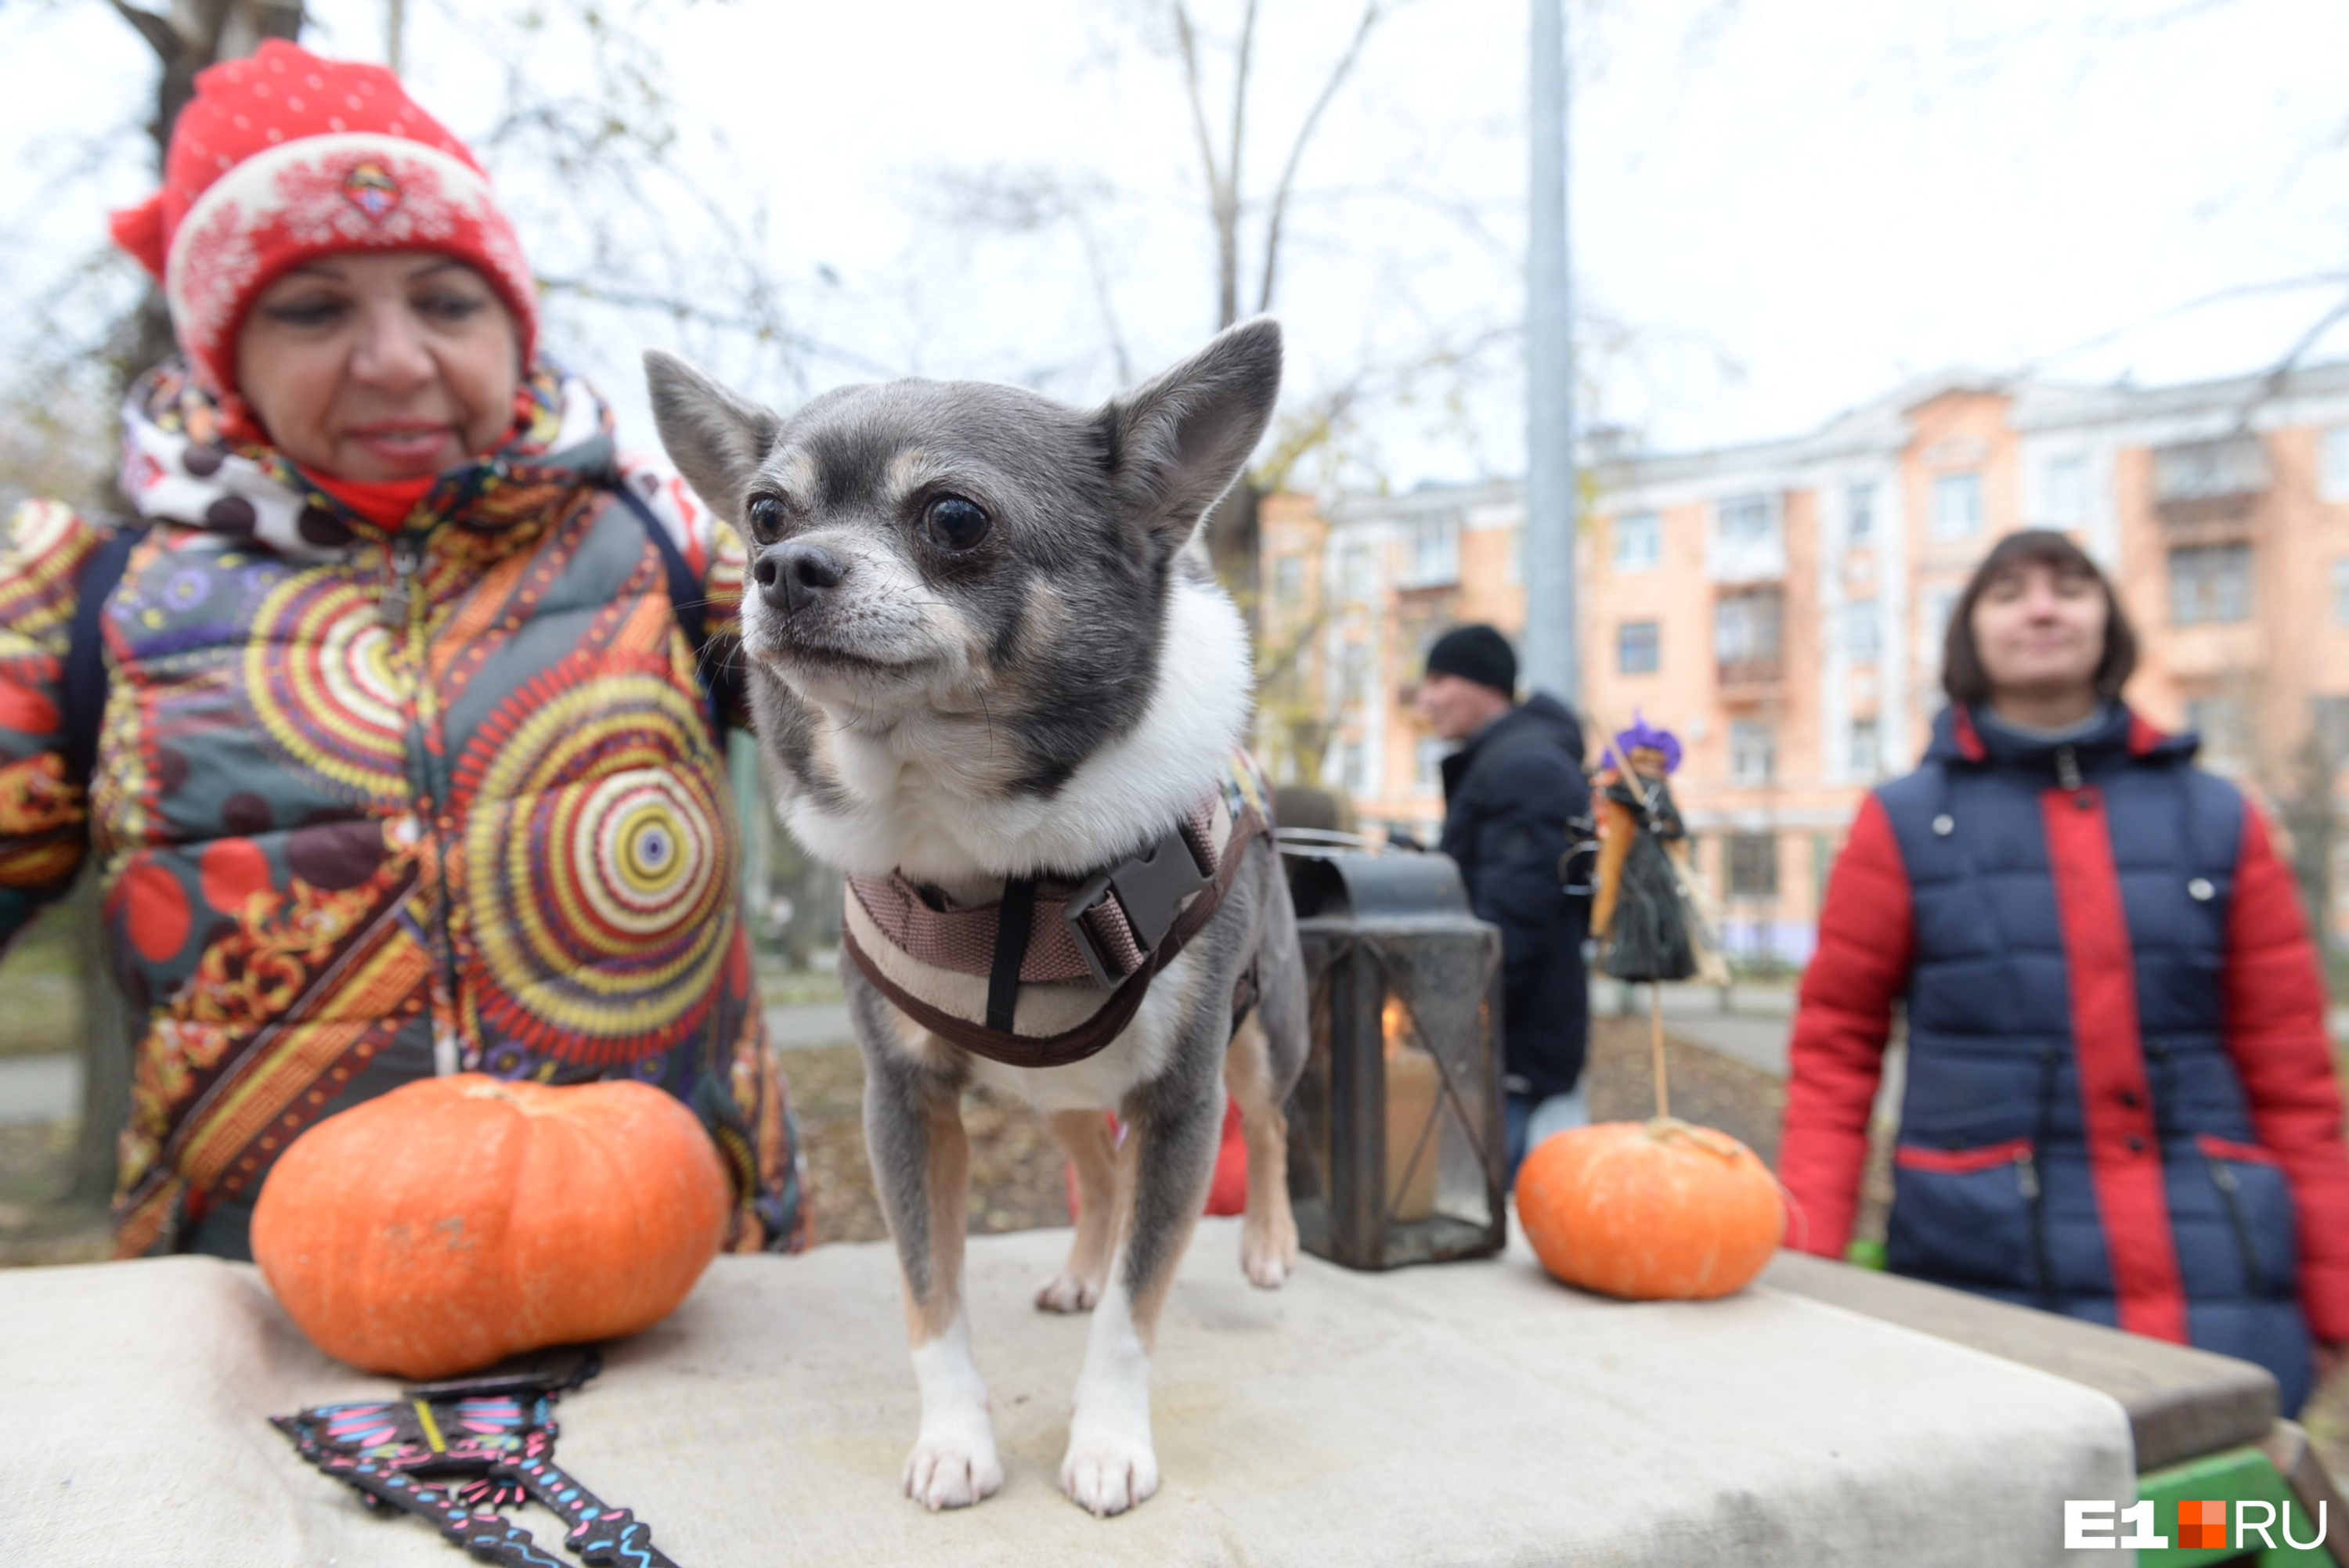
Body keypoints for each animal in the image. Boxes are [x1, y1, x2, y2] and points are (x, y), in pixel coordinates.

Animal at [653, 321, 1315, 1521]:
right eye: (764, 513)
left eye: (954, 518)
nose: (784, 567)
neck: (987, 852)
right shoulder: (905, 1102)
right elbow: (932, 1290)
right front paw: (956, 1438)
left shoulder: (1182, 1102)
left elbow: (1139, 1307)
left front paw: (1109, 1440)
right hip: (1053, 1084)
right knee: (1096, 1170)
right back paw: (1081, 1265)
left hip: (1259, 1031)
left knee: (1275, 1125)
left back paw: (1270, 1245)